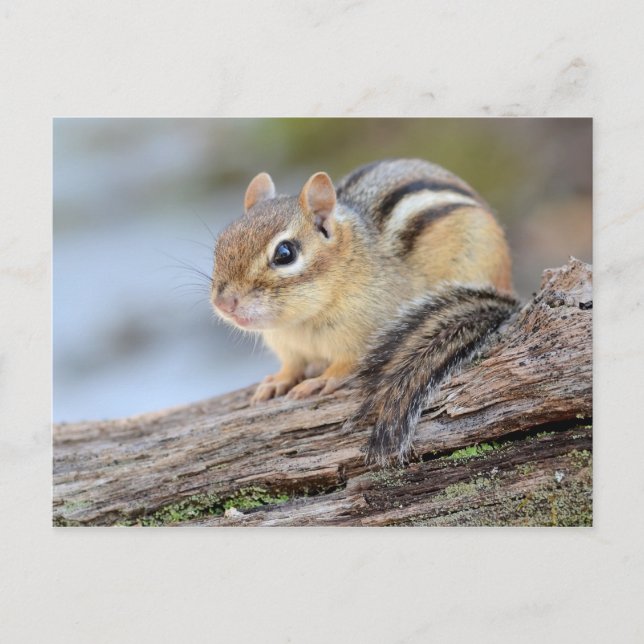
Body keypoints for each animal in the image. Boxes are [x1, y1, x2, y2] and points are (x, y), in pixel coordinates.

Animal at [211, 158, 518, 465]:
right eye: (221, 243)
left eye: (285, 253)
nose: (224, 303)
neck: (300, 323)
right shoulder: (288, 347)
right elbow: (292, 366)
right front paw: (277, 382)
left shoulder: (365, 334)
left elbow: (345, 365)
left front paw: (321, 381)